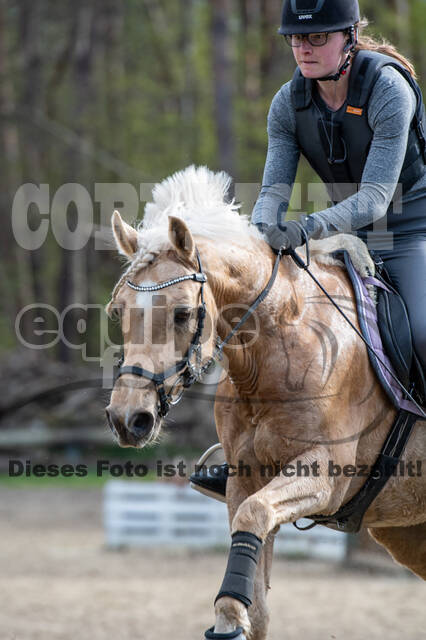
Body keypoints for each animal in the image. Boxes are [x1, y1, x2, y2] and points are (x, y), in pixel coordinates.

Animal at [106, 166, 426, 640]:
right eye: (118, 311)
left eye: (182, 313)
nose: (128, 419)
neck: (273, 353)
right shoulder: (245, 476)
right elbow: (254, 587)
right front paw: (232, 619)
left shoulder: (325, 476)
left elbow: (254, 515)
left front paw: (227, 613)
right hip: (409, 530)